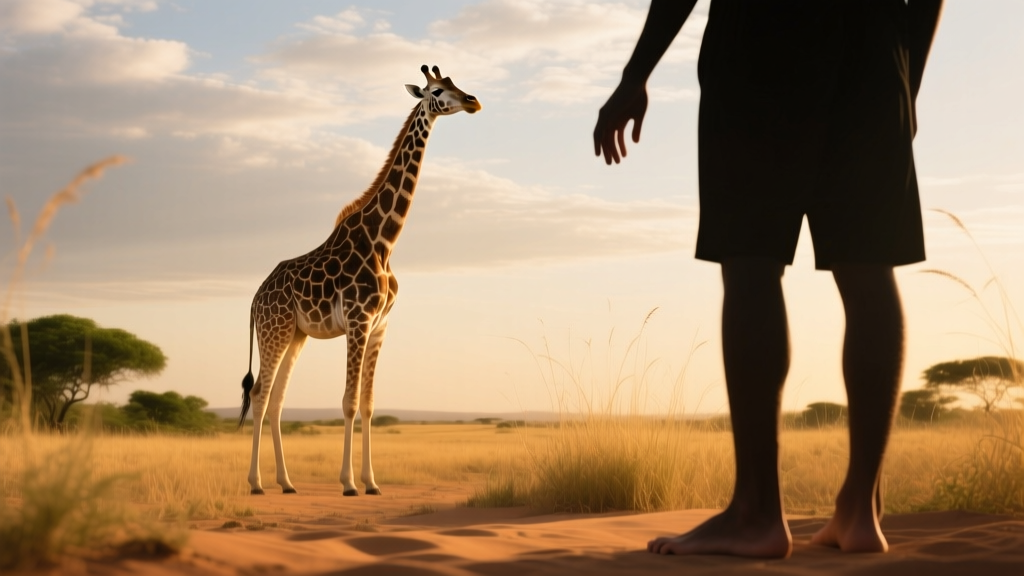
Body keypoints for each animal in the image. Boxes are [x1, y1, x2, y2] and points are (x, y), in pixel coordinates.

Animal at [237, 65, 481, 496]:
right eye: (437, 91)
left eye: (456, 84)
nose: (473, 101)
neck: (384, 242)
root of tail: (255, 298)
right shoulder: (358, 320)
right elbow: (349, 402)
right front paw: (349, 483)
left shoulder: (381, 325)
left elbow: (367, 404)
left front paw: (372, 483)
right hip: (274, 330)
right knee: (261, 394)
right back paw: (257, 483)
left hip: (296, 333)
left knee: (278, 398)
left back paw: (287, 482)